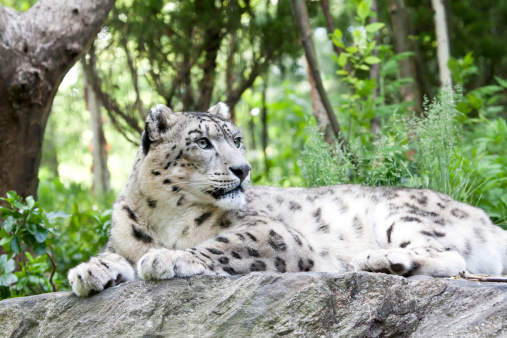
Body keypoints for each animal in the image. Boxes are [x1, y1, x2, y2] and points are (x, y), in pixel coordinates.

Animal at [68, 102, 507, 296]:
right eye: (203, 142)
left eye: (237, 139)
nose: (243, 169)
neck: (164, 216)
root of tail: (486, 218)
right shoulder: (122, 239)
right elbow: (115, 254)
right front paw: (89, 270)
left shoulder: (271, 233)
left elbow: (222, 245)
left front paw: (166, 258)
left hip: (402, 213)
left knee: (451, 256)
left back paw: (377, 258)